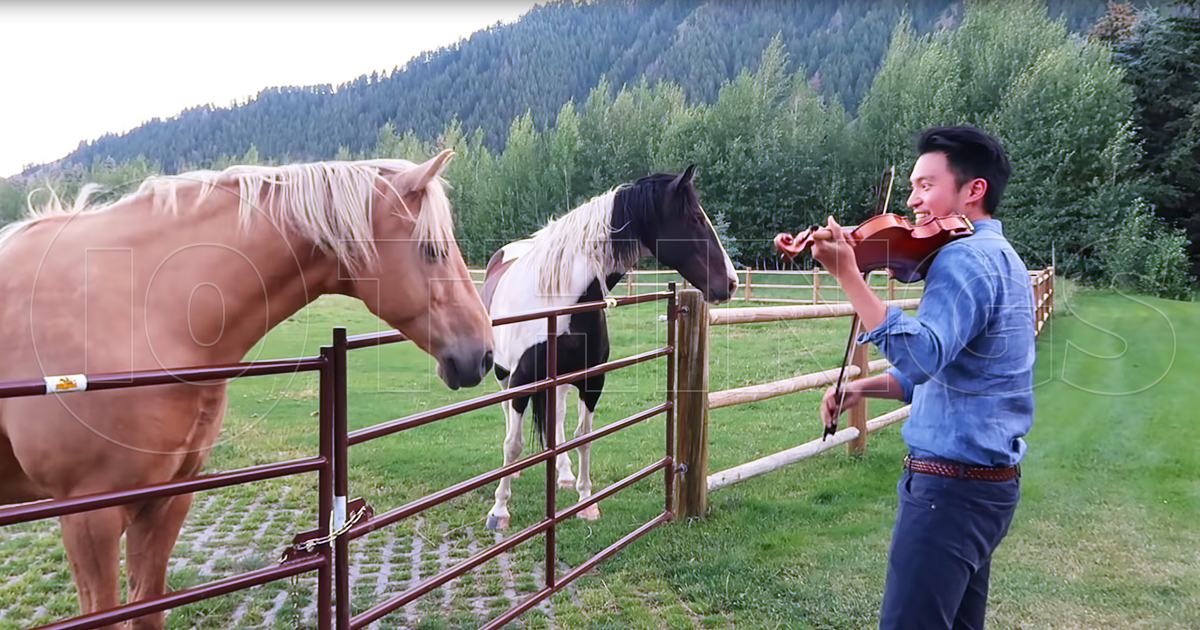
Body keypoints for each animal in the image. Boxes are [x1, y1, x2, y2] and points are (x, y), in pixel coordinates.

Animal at [0, 150, 494, 630]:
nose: (484, 355)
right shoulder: (89, 516)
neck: (139, 308)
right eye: (431, 249)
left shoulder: (167, 499)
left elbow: (149, 608)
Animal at [480, 165, 737, 530]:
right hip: (504, 374)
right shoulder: (522, 380)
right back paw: (513, 476)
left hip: (559, 382)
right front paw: (499, 510)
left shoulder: (592, 381)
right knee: (507, 417)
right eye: (695, 219)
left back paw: (564, 474)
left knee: (557, 421)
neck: (558, 299)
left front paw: (586, 502)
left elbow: (583, 436)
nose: (731, 282)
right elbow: (513, 443)